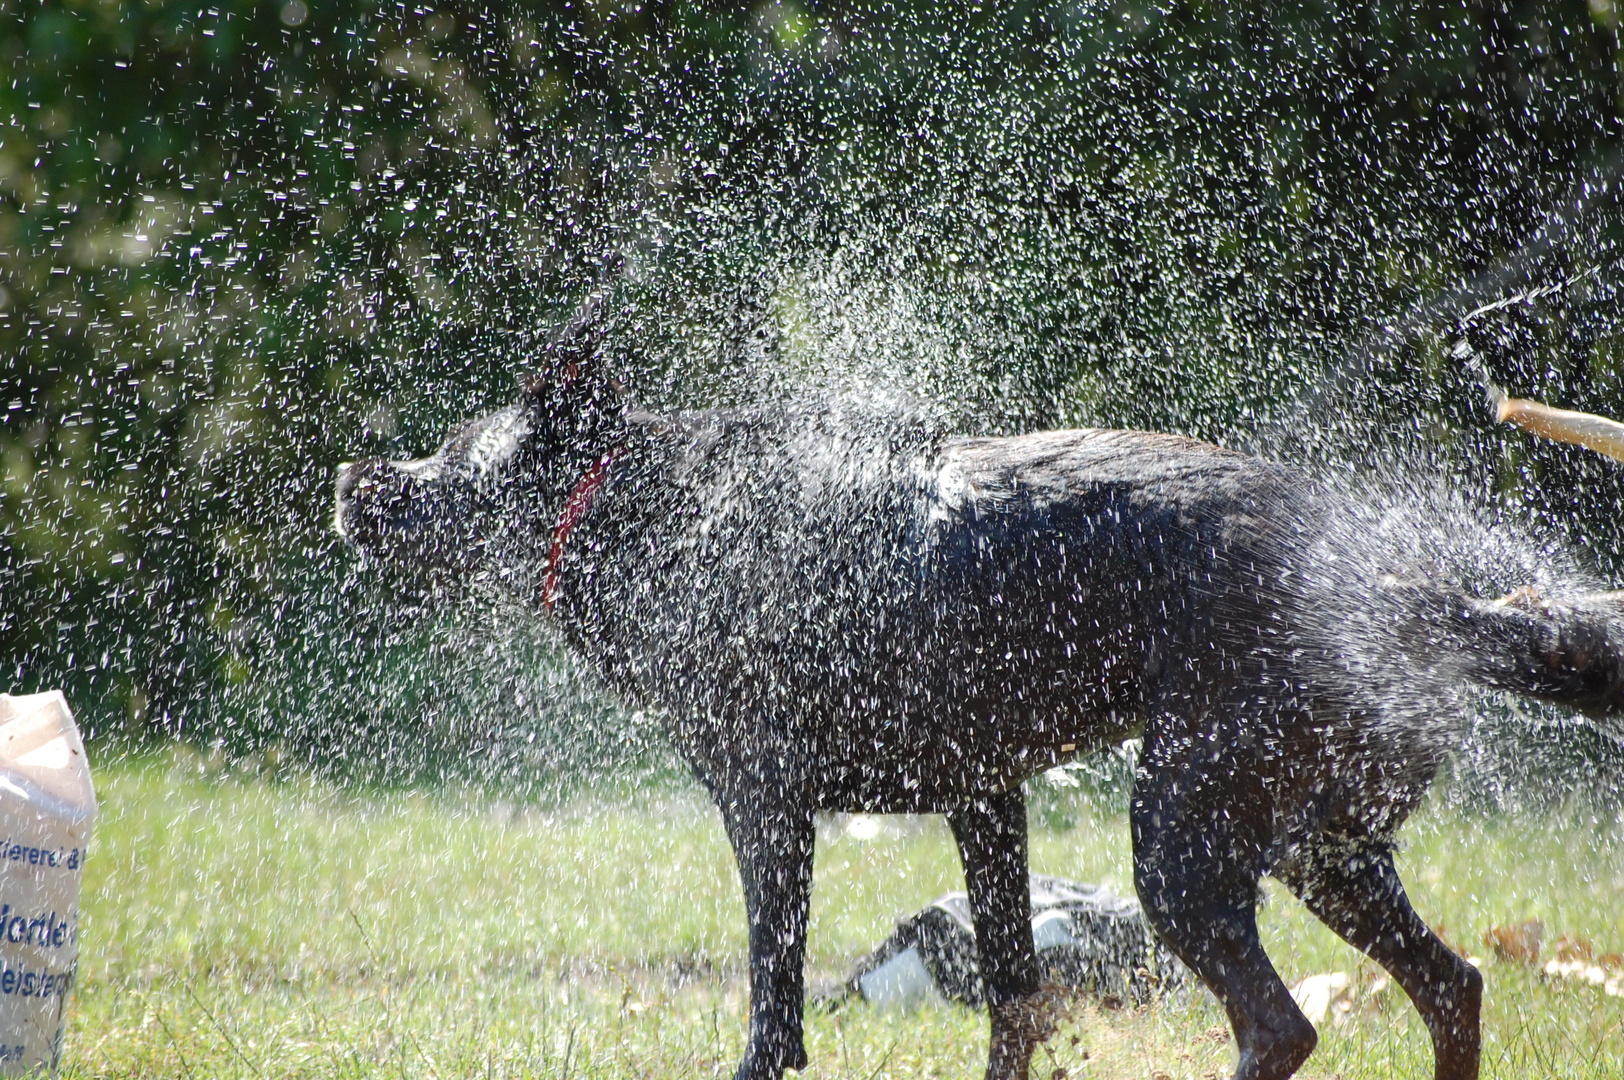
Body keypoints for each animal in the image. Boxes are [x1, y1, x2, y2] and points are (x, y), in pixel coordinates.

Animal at [332, 337, 1624, 1078]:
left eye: (448, 450)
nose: (352, 476)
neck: (651, 515)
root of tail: (1410, 586)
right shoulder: (985, 798)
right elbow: (1012, 996)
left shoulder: (766, 811)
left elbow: (773, 1009)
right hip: (1322, 847)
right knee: (1451, 986)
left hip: (1184, 839)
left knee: (1280, 1027)